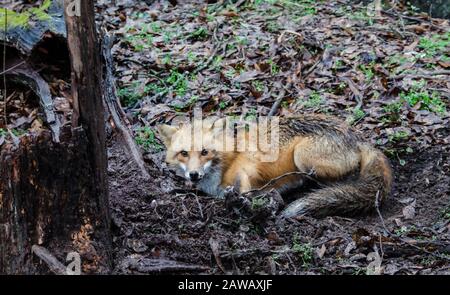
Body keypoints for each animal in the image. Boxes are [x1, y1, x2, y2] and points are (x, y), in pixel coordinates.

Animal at [157, 114, 390, 219]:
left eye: (205, 152)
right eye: (183, 153)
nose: (194, 175)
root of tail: (358, 136)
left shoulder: (247, 168)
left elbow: (245, 187)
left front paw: (247, 204)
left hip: (302, 156)